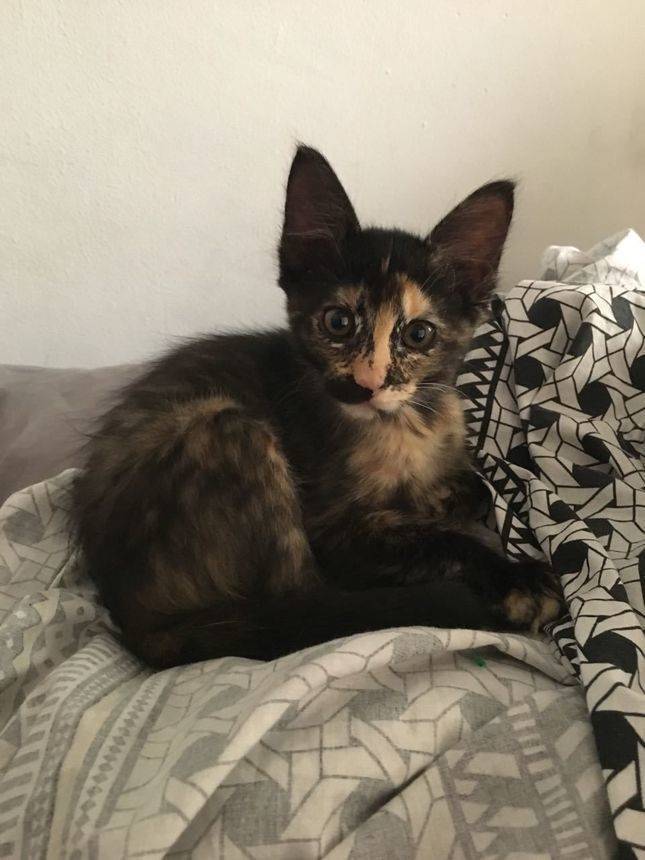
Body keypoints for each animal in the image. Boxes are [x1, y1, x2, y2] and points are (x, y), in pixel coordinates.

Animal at [72, 145, 562, 667]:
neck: (408, 425)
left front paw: (438, 498)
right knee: (306, 601)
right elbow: (436, 539)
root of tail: (134, 622)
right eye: (338, 322)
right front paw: (514, 577)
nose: (367, 383)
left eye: (418, 334)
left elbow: (473, 488)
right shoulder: (333, 532)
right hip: (228, 427)